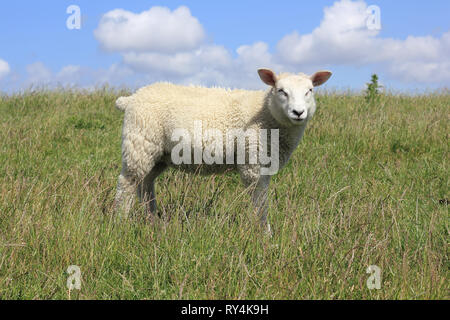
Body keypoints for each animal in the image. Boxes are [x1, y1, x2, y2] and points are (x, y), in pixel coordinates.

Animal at [112, 68, 330, 232]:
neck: (267, 114)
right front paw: (263, 233)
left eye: (310, 90)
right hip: (140, 142)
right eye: (281, 91)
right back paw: (120, 222)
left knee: (145, 183)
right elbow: (260, 201)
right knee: (127, 182)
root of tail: (131, 99)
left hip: (158, 154)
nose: (298, 112)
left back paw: (153, 221)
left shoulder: (265, 164)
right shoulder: (252, 161)